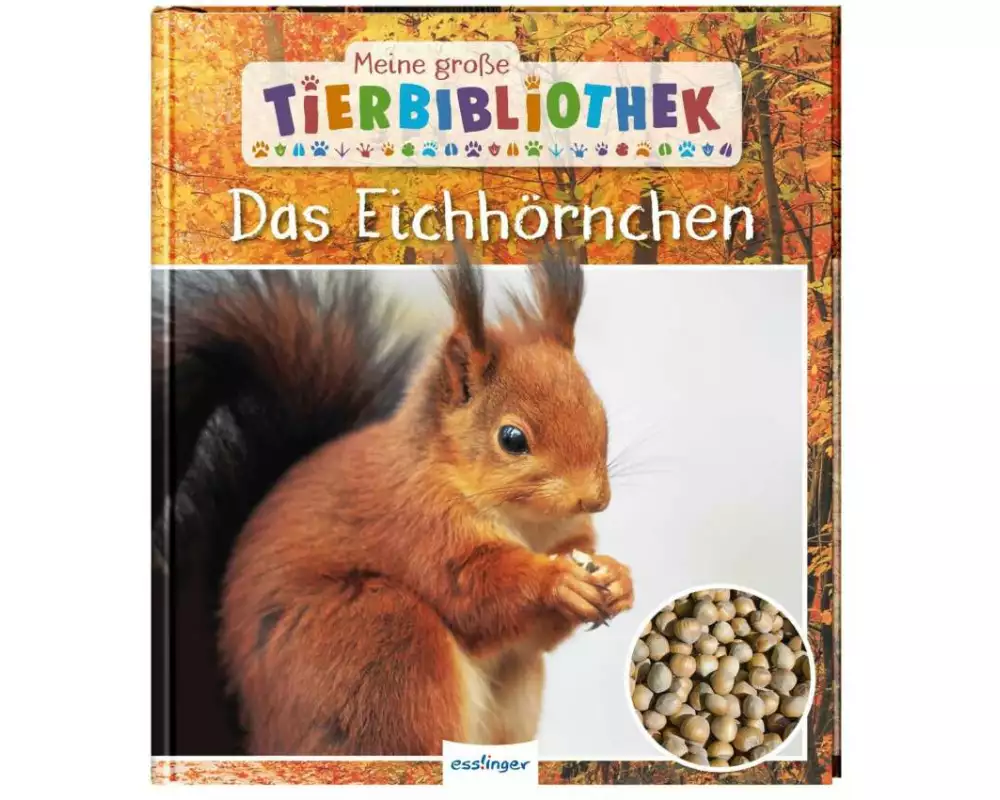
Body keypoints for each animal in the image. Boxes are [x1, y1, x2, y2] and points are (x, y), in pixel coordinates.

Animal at [152, 249, 633, 756]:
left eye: (599, 413)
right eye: (512, 438)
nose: (595, 498)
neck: (521, 520)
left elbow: (537, 630)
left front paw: (615, 577)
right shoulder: (417, 523)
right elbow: (473, 591)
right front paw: (559, 581)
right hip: (382, 647)